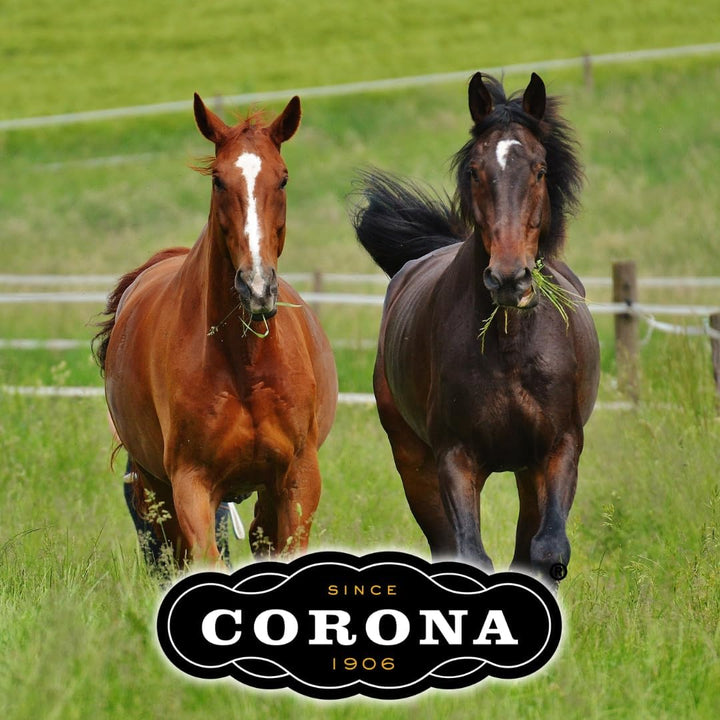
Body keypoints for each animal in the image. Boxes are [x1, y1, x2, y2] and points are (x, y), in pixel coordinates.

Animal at [93, 94, 338, 567]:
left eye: (283, 179)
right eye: (219, 181)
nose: (257, 287)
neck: (244, 364)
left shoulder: (298, 478)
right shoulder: (191, 483)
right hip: (156, 487)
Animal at [353, 73, 600, 583]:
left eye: (540, 170)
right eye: (473, 171)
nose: (508, 279)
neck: (510, 348)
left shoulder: (559, 448)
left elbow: (547, 549)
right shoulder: (454, 457)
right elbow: (469, 552)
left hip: (527, 470)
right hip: (413, 462)